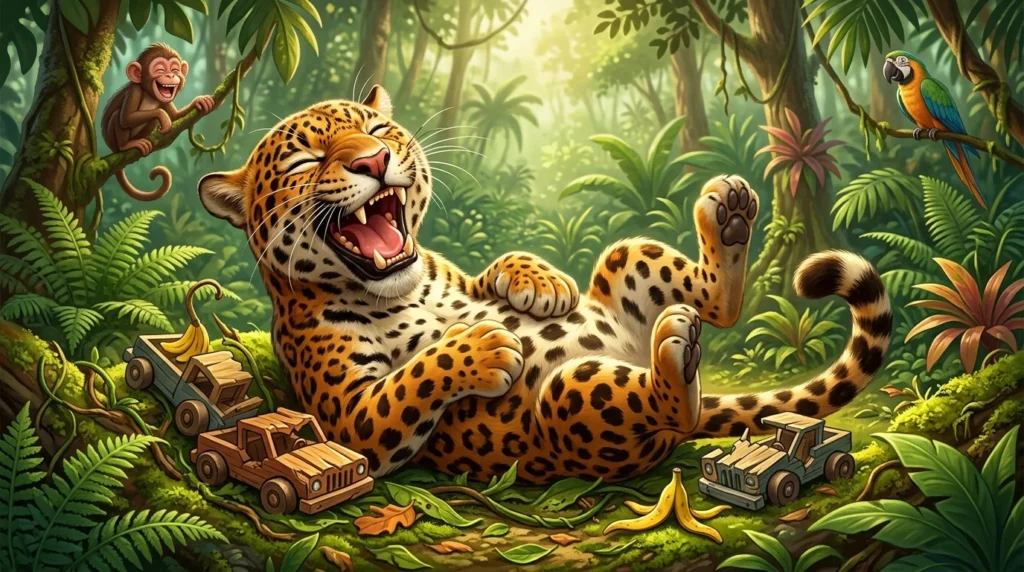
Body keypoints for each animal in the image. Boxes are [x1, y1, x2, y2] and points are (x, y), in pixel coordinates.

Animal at [198, 86, 892, 484]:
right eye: (307, 160)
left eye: (376, 131)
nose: (373, 160)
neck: (402, 287)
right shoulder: (348, 418)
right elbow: (413, 377)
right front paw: (482, 345)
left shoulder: (449, 272)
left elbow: (489, 271)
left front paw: (539, 283)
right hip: (568, 404)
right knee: (676, 403)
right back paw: (677, 356)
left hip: (626, 256)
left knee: (714, 304)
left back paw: (729, 220)